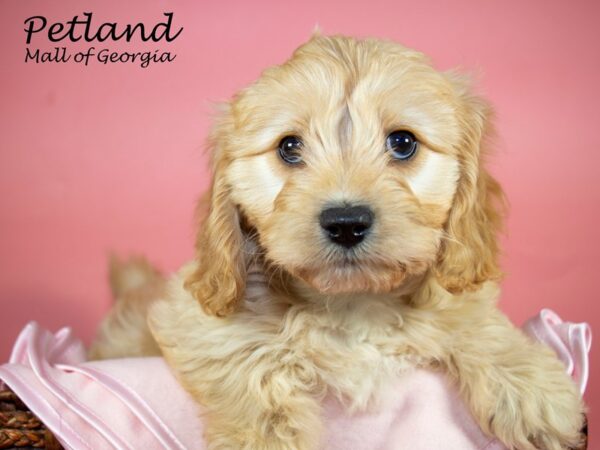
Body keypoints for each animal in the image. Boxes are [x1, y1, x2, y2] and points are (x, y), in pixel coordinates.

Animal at [91, 33, 584, 448]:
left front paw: (532, 389)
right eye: (289, 148)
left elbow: (472, 316)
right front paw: (269, 437)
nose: (346, 222)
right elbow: (247, 359)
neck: (353, 302)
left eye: (403, 143)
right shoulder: (193, 314)